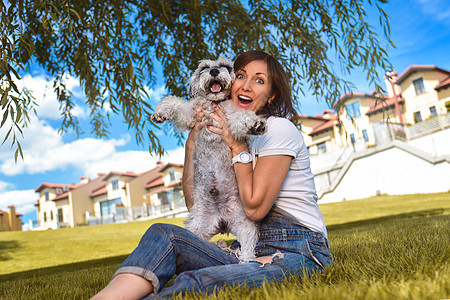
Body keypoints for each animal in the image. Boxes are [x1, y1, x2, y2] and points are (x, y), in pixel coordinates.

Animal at [151, 57, 266, 262]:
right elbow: (175, 102)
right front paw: (161, 112)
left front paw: (255, 123)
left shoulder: (231, 120)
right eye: (204, 67)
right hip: (196, 228)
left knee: (248, 247)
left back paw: (246, 259)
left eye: (225, 66)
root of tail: (222, 222)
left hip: (246, 226)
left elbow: (242, 117)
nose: (213, 71)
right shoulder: (191, 115)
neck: (215, 104)